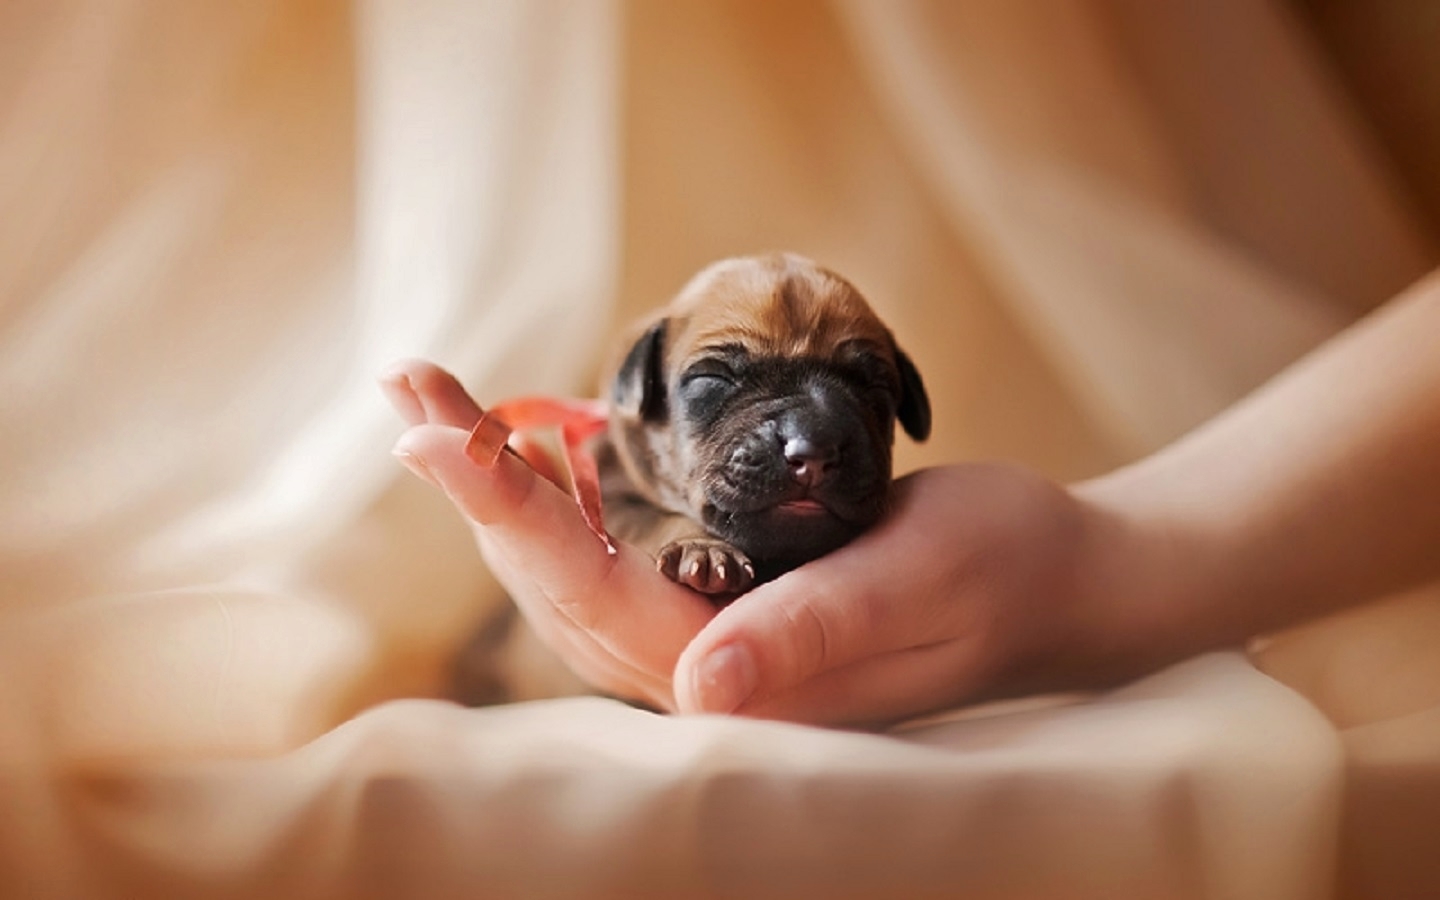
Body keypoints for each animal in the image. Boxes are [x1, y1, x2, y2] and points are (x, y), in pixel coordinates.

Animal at [596, 250, 933, 596]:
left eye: (875, 387)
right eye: (712, 378)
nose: (814, 451)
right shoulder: (611, 496)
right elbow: (649, 516)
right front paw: (701, 546)